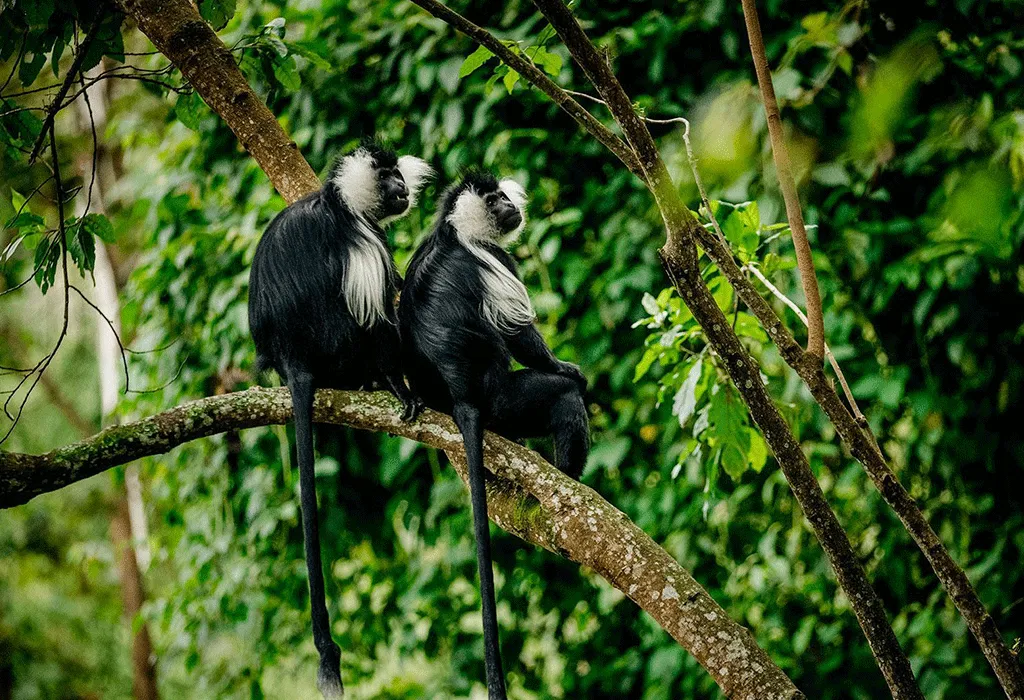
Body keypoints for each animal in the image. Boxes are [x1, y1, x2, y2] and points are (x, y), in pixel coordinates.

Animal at [247, 140, 431, 699]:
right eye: (389, 177)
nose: (401, 188)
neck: (341, 202)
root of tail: (294, 358)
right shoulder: (362, 242)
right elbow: (378, 317)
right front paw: (397, 384)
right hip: (337, 345)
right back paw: (376, 382)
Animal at [398, 171, 589, 699]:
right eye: (494, 199)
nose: (509, 204)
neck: (454, 230)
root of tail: (462, 395)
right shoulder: (495, 261)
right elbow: (522, 335)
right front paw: (566, 367)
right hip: (509, 399)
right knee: (561, 401)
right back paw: (570, 477)